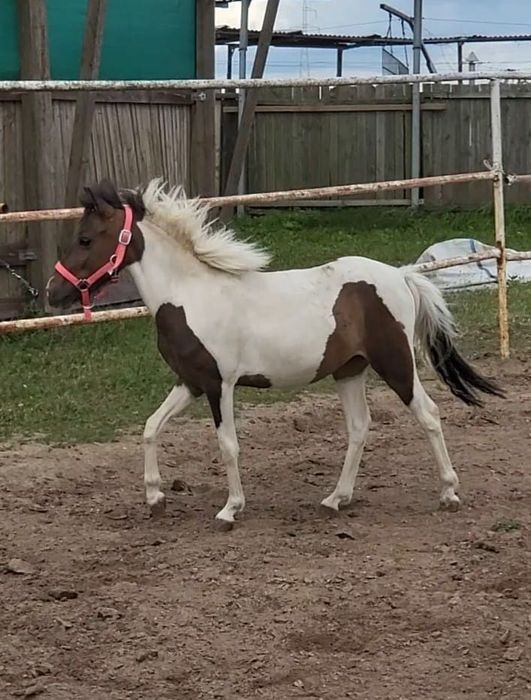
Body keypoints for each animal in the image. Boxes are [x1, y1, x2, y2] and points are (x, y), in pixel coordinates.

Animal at [47, 178, 504, 528]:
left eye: (86, 238)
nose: (53, 292)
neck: (190, 295)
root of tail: (402, 275)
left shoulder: (219, 385)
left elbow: (227, 445)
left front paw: (230, 510)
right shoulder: (190, 382)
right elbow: (150, 427)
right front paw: (155, 498)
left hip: (395, 363)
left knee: (428, 414)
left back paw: (448, 493)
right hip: (349, 370)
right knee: (359, 427)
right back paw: (335, 499)